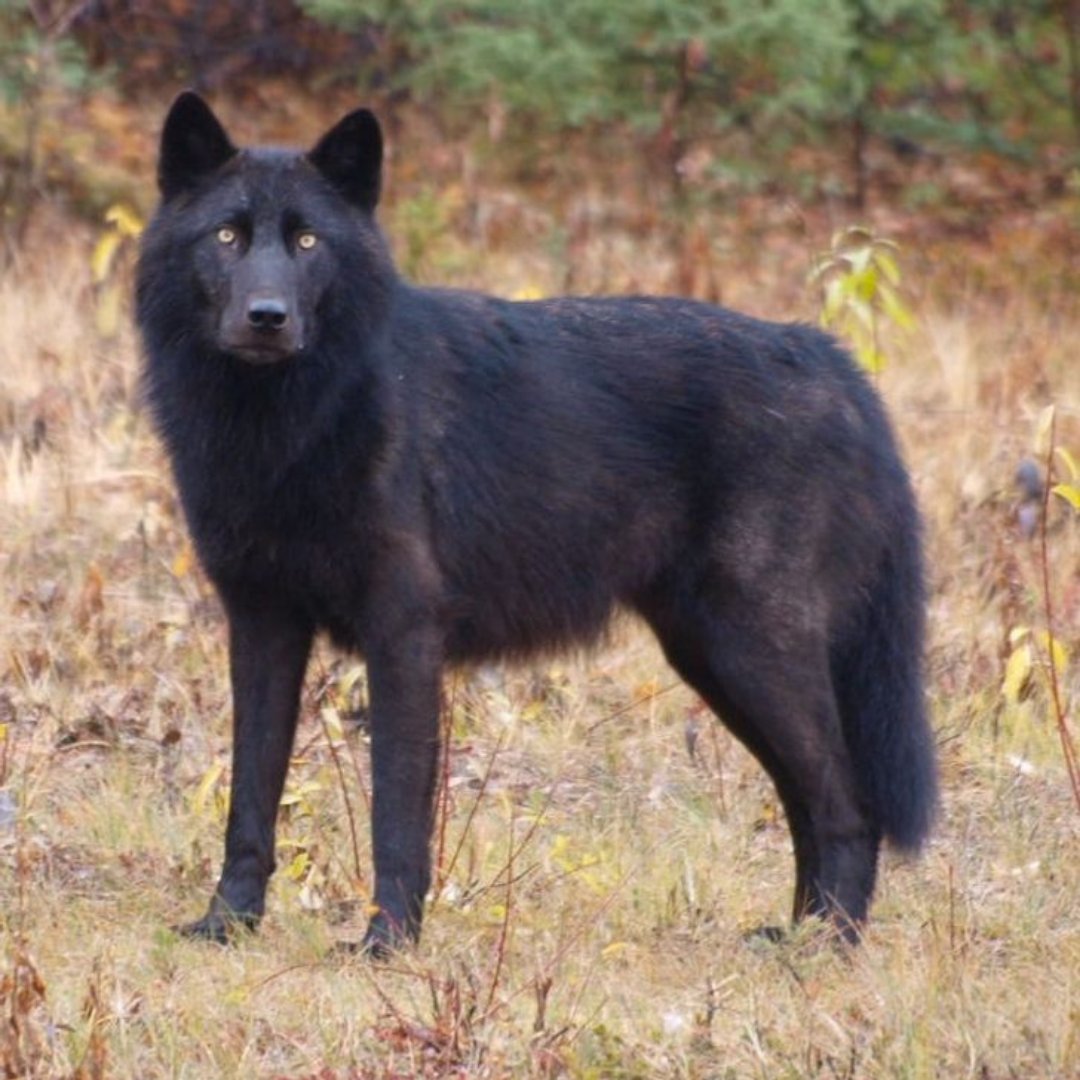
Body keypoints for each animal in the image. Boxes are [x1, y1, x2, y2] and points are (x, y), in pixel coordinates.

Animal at [137, 92, 937, 954]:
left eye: (308, 240)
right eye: (227, 235)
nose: (267, 316)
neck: (293, 426)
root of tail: (832, 360)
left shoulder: (404, 633)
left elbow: (395, 813)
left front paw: (389, 943)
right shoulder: (262, 627)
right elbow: (249, 798)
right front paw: (227, 923)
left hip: (753, 649)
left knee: (846, 806)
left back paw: (828, 948)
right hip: (716, 659)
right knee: (805, 801)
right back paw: (794, 934)